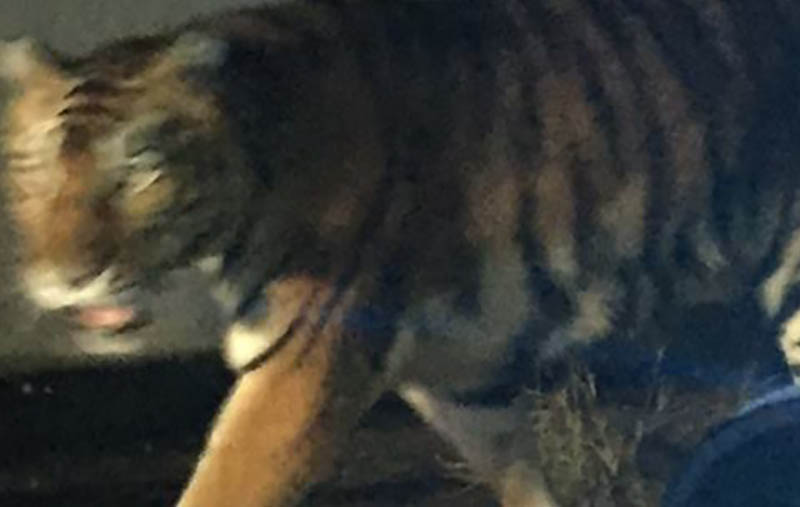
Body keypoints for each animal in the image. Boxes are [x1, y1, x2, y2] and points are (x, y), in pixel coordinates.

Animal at [2, 0, 800, 505]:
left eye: (138, 169)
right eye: (36, 169)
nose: (68, 278)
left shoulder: (301, 369)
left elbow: (220, 485)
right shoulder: (462, 370)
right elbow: (519, 470)